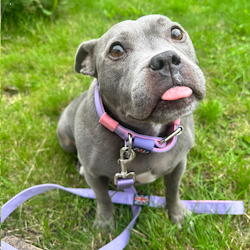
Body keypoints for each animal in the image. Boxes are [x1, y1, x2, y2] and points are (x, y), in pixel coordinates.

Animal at [56, 14, 205, 229]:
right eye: (116, 50)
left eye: (176, 32)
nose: (165, 59)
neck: (145, 138)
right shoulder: (95, 177)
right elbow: (103, 198)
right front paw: (104, 224)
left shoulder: (178, 164)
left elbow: (172, 191)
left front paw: (177, 214)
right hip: (65, 139)